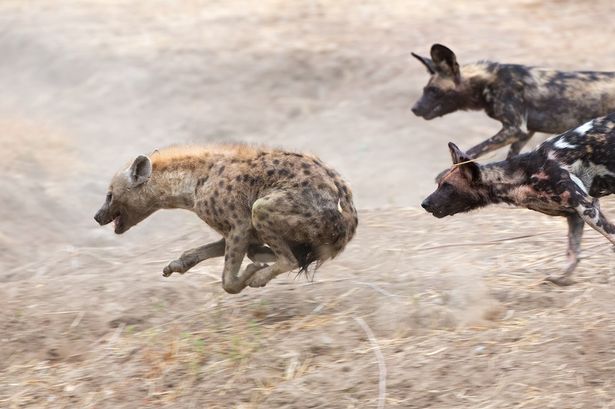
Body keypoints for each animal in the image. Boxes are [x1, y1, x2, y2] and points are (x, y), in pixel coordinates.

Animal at [94, 145, 358, 292]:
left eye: (109, 195)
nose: (96, 216)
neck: (192, 184)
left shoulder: (239, 224)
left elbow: (228, 281)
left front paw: (249, 275)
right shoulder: (237, 232)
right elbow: (202, 251)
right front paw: (174, 266)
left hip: (266, 208)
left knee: (290, 259)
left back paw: (259, 276)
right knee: (296, 255)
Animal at [412, 42, 615, 161]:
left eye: (433, 90)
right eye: (425, 89)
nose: (414, 109)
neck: (487, 82)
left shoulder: (514, 129)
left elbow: (474, 150)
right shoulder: (524, 133)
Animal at [424, 111, 615, 284]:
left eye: (448, 186)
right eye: (439, 184)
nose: (424, 203)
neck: (520, 176)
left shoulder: (587, 209)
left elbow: (611, 236)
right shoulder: (576, 215)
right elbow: (573, 254)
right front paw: (562, 279)